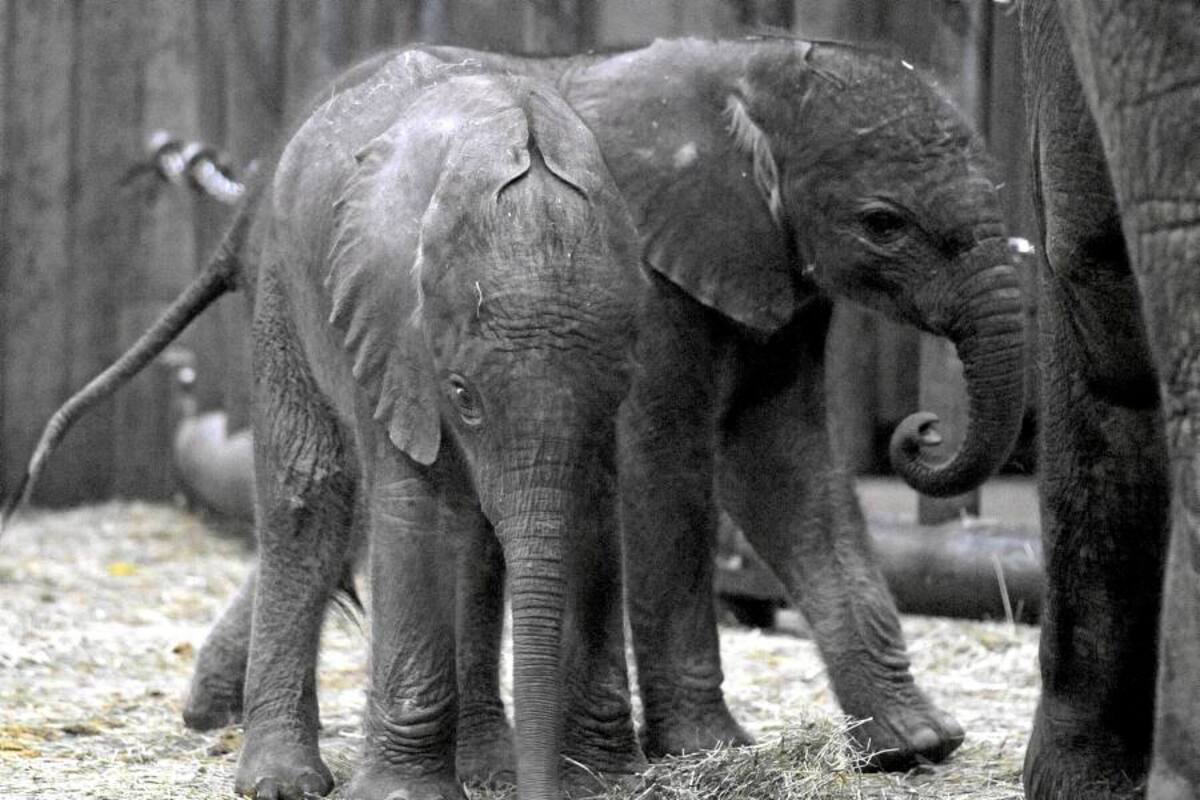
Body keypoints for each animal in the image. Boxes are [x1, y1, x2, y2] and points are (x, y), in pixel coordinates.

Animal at [4, 56, 649, 800]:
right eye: (463, 395)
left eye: (617, 386)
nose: (542, 787)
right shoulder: (390, 328)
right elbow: (414, 512)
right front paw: (403, 794)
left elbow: (594, 513)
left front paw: (602, 778)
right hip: (285, 290)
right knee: (307, 496)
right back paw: (282, 781)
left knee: (474, 534)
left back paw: (486, 771)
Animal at [179, 34, 1029, 777]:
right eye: (883, 224)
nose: (921, 433)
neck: (750, 67)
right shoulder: (662, 277)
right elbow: (667, 471)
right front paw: (707, 748)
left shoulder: (769, 264)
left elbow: (783, 468)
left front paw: (916, 745)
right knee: (329, 484)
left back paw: (213, 709)